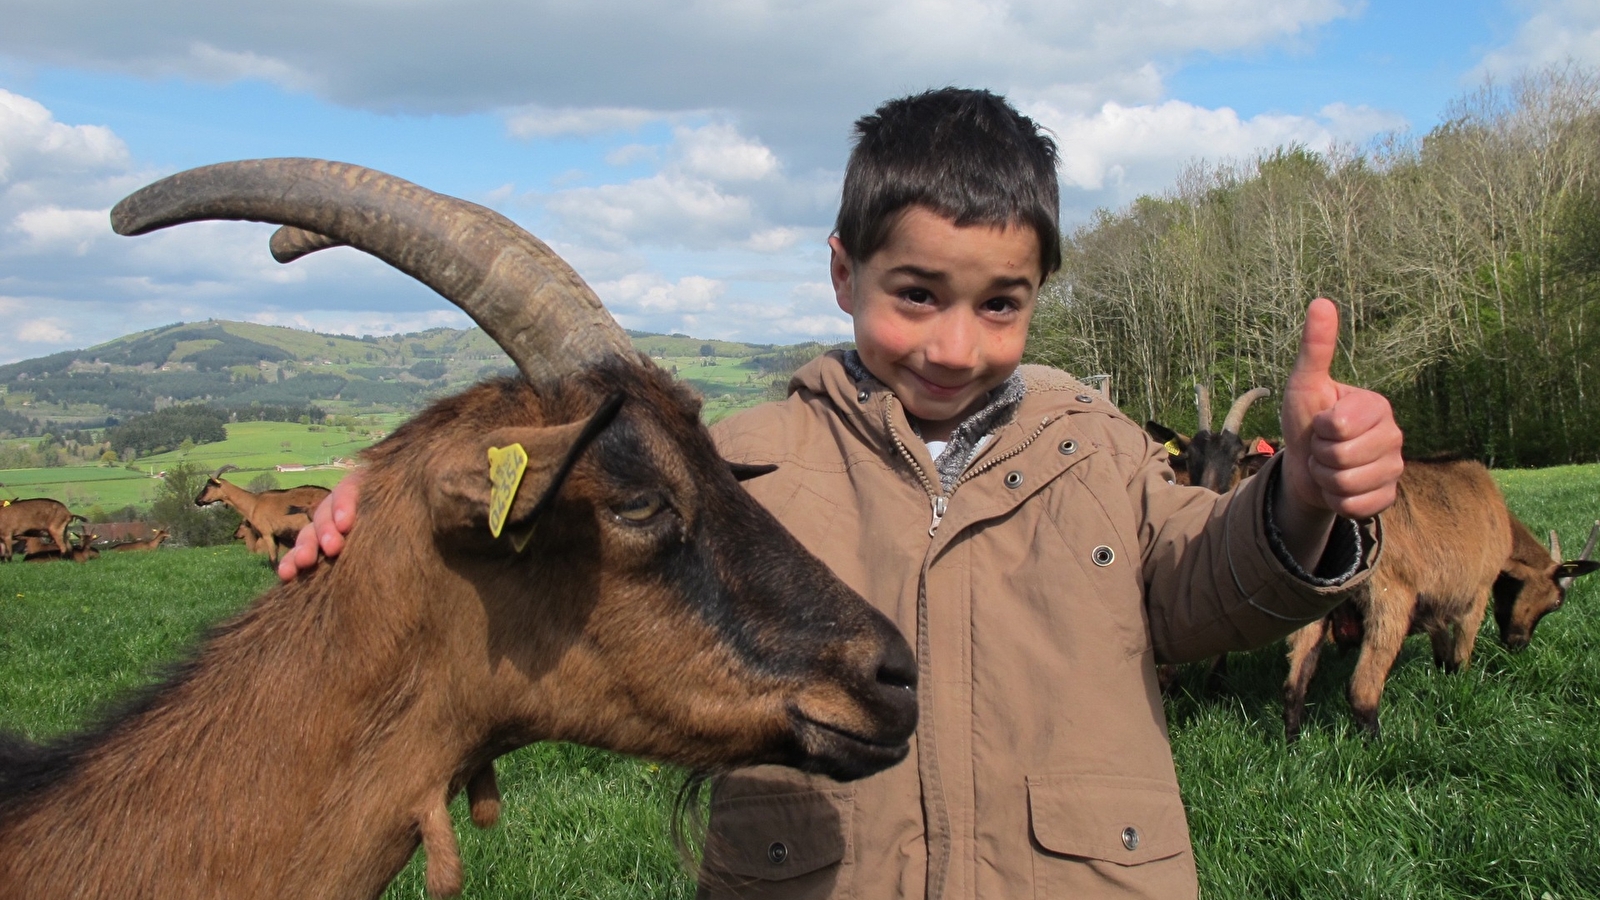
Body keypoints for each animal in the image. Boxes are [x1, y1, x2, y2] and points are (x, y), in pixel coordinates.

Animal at [192, 470, 329, 560]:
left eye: (208, 486)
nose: (197, 500)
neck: (253, 502)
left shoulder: (267, 533)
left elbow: (273, 560)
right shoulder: (277, 536)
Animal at [1280, 458, 1600, 739]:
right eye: (1556, 602)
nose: (1517, 644)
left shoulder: (1435, 606)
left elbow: (1441, 646)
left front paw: (1444, 674)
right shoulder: (1478, 590)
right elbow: (1461, 653)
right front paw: (1461, 686)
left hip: (1312, 604)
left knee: (1294, 686)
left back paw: (1294, 743)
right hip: (1390, 600)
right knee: (1362, 689)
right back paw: (1377, 744)